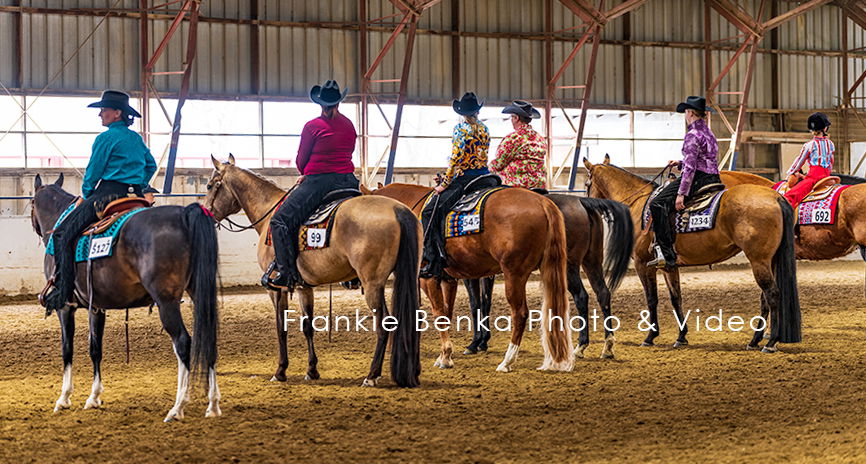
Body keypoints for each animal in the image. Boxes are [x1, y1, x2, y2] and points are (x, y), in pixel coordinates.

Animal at [30, 173, 221, 420]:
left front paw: (63, 398)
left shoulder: (65, 307)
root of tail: (185, 214)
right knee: (209, 338)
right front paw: (94, 397)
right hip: (199, 294)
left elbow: (67, 349)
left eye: (31, 203)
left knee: (182, 342)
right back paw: (213, 405)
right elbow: (95, 349)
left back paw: (178, 407)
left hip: (166, 302)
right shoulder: (96, 307)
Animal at [202, 156, 418, 388]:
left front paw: (280, 371)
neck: (268, 213)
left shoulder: (275, 289)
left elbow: (281, 327)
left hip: (372, 284)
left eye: (209, 186)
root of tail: (398, 210)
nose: (206, 212)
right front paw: (312, 370)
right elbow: (308, 326)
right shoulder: (303, 287)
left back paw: (371, 375)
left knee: (384, 324)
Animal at [362, 182, 572, 374]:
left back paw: (507, 361)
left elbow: (438, 314)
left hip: (514, 273)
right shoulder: (448, 279)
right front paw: (443, 355)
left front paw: (446, 356)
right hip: (547, 270)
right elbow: (446, 313)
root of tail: (542, 202)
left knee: (520, 313)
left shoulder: (427, 279)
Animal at [576, 156, 800, 352]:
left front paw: (650, 337)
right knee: (765, 297)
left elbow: (652, 299)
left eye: (587, 184)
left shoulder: (642, 263)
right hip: (769, 261)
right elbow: (676, 298)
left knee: (772, 294)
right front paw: (681, 337)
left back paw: (770, 342)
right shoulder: (669, 265)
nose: (586, 207)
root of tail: (776, 197)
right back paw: (755, 340)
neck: (639, 205)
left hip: (759, 261)